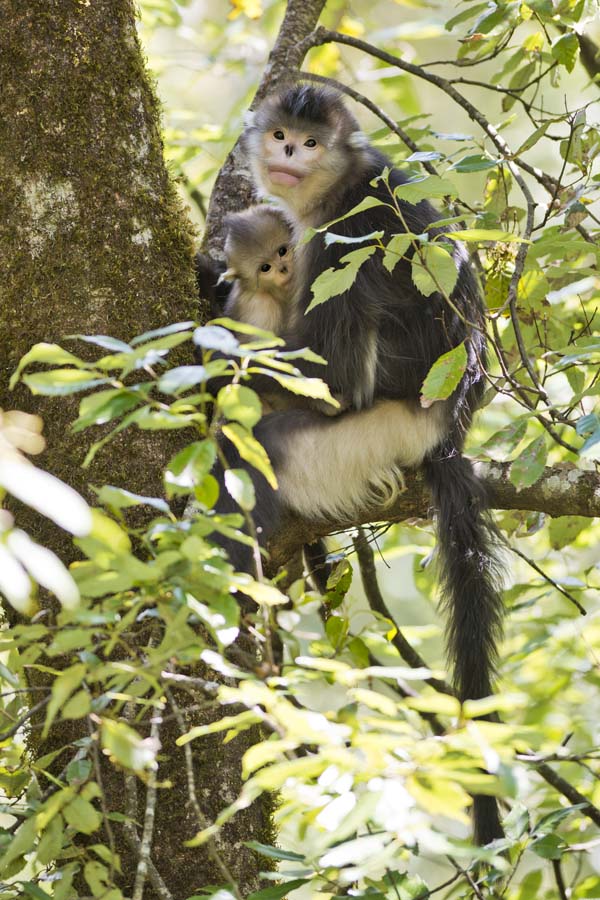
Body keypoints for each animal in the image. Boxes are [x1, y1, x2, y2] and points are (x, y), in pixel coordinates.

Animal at [210, 83, 504, 843]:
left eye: (311, 143)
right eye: (281, 134)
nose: (287, 152)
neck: (339, 186)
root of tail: (444, 433)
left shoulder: (343, 241)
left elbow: (333, 378)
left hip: (356, 443)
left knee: (257, 442)